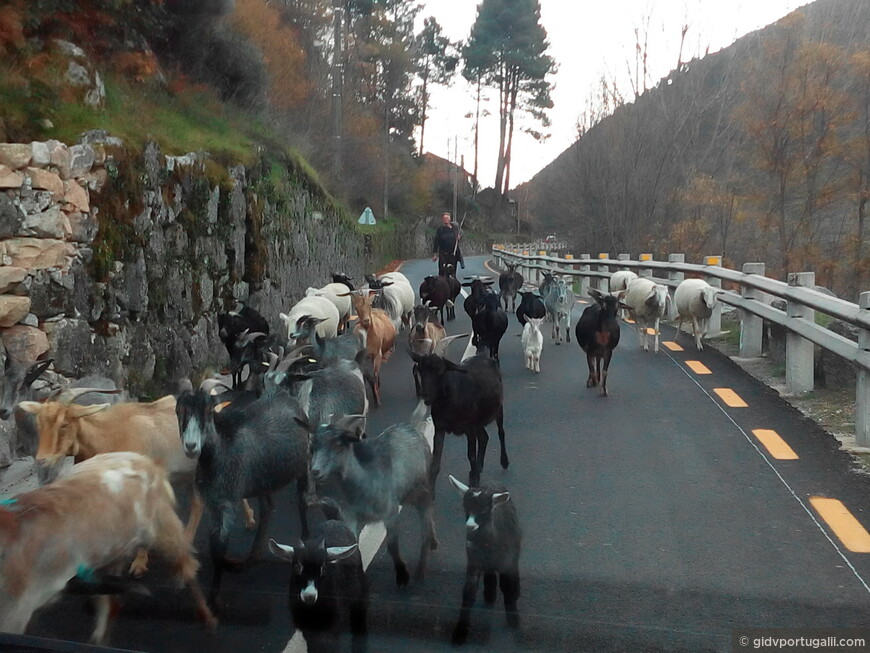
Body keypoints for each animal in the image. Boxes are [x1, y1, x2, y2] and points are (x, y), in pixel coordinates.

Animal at [0, 450, 217, 644]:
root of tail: (148, 462)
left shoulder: (16, 613)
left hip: (164, 530)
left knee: (187, 566)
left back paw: (208, 617)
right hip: (113, 550)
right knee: (108, 600)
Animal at [270, 500, 370, 652]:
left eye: (323, 569)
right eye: (297, 567)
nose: (309, 595)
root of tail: (335, 519)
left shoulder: (331, 627)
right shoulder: (307, 627)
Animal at [410, 352, 510, 488]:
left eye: (441, 371)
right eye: (420, 370)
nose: (426, 396)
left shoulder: (469, 428)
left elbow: (471, 455)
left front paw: (474, 482)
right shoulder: (440, 427)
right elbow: (435, 463)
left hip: (498, 409)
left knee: (501, 432)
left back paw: (504, 461)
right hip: (478, 421)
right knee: (484, 437)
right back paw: (479, 467)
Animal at [450, 474, 524, 648]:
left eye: (484, 510)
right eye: (465, 507)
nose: (470, 526)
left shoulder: (506, 559)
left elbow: (506, 586)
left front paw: (513, 619)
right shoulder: (473, 559)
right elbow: (468, 591)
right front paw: (459, 633)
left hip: (515, 545)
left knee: (514, 568)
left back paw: (515, 592)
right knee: (490, 572)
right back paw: (489, 595)